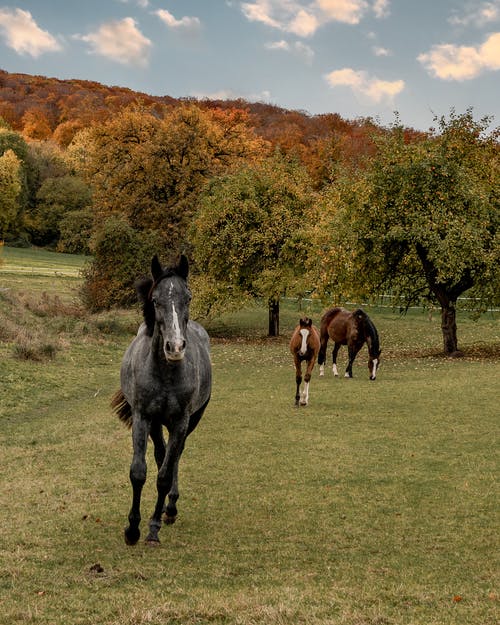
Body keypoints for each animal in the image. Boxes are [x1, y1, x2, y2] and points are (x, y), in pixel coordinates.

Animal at [111, 256, 211, 544]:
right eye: (155, 300)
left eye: (188, 297)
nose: (175, 347)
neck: (166, 373)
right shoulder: (143, 417)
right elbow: (139, 471)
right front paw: (132, 528)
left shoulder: (181, 421)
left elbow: (165, 475)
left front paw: (153, 528)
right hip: (156, 424)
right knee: (160, 453)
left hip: (192, 420)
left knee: (174, 457)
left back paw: (171, 508)